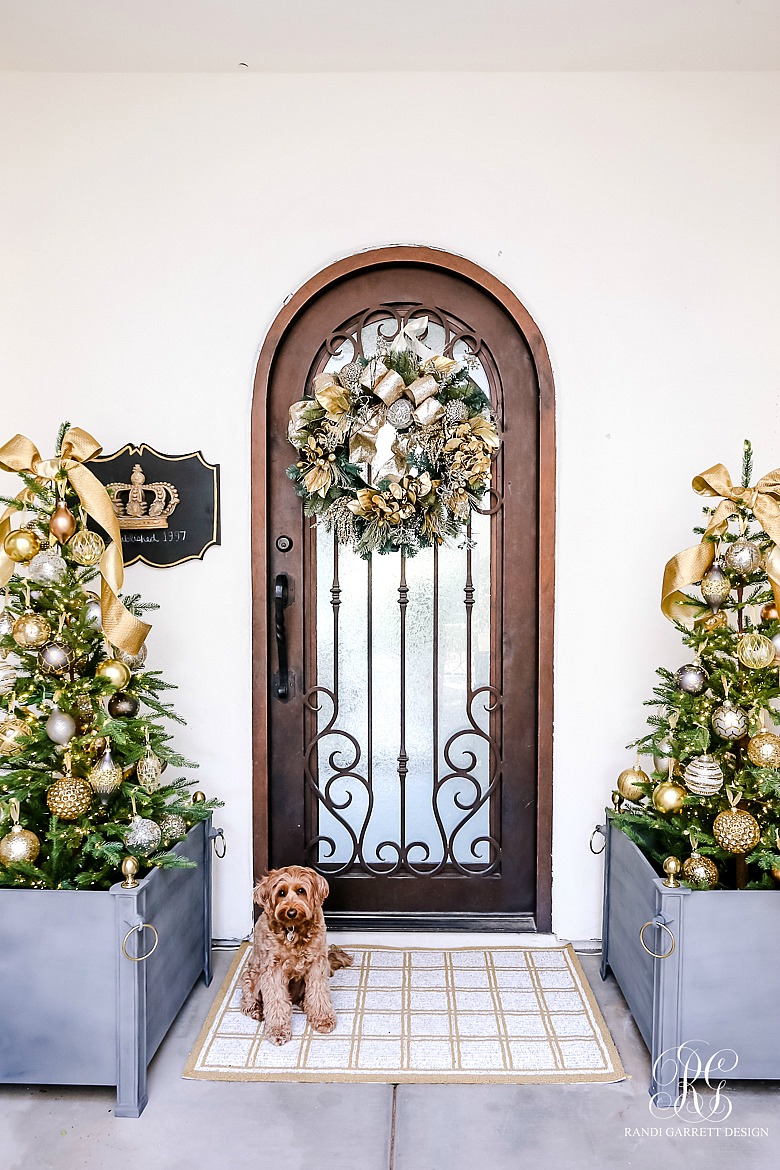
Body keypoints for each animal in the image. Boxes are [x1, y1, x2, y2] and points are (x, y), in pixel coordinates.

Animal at [238, 865, 353, 1048]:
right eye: (281, 893)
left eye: (301, 890)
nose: (291, 912)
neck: (293, 929)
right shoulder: (273, 970)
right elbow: (277, 1001)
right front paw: (278, 1031)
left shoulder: (317, 965)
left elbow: (319, 993)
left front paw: (322, 1019)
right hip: (251, 976)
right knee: (248, 1000)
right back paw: (256, 1010)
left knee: (306, 997)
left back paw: (305, 1005)